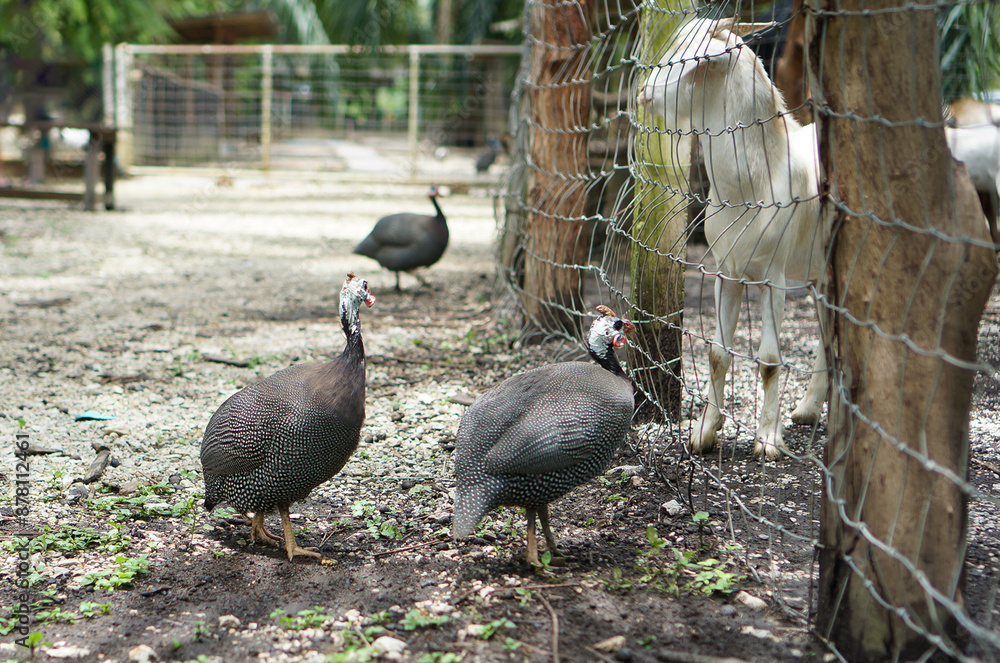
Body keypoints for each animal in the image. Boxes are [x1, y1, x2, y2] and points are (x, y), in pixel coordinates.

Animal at [637, 16, 830, 459]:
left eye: (695, 62)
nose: (642, 92)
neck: (755, 183)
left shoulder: (774, 277)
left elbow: (770, 359)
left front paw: (768, 441)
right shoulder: (726, 271)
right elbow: (717, 354)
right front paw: (704, 433)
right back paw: (807, 411)